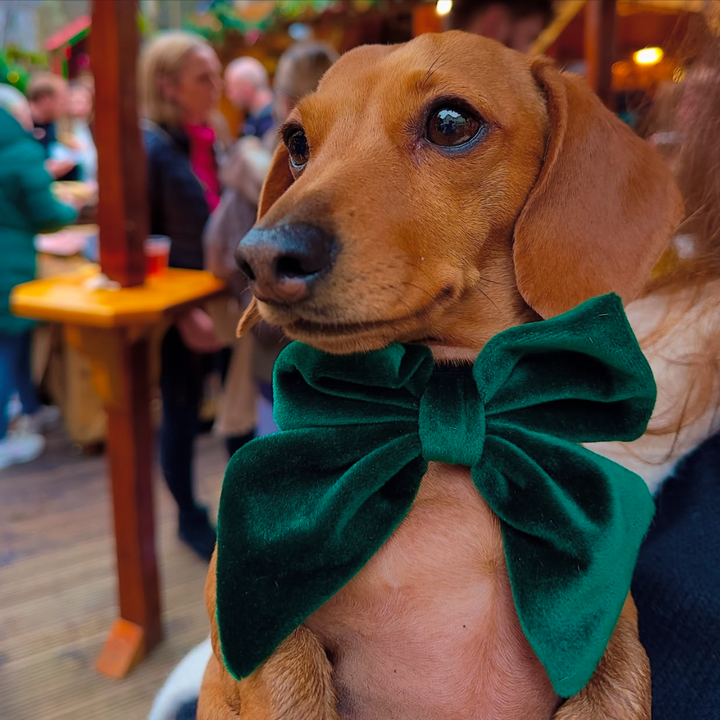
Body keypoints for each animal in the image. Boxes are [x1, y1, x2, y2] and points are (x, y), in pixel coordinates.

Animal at [197, 32, 680, 720]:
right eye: (296, 143)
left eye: (451, 122)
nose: (261, 257)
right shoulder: (254, 618)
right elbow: (293, 683)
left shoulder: (607, 642)